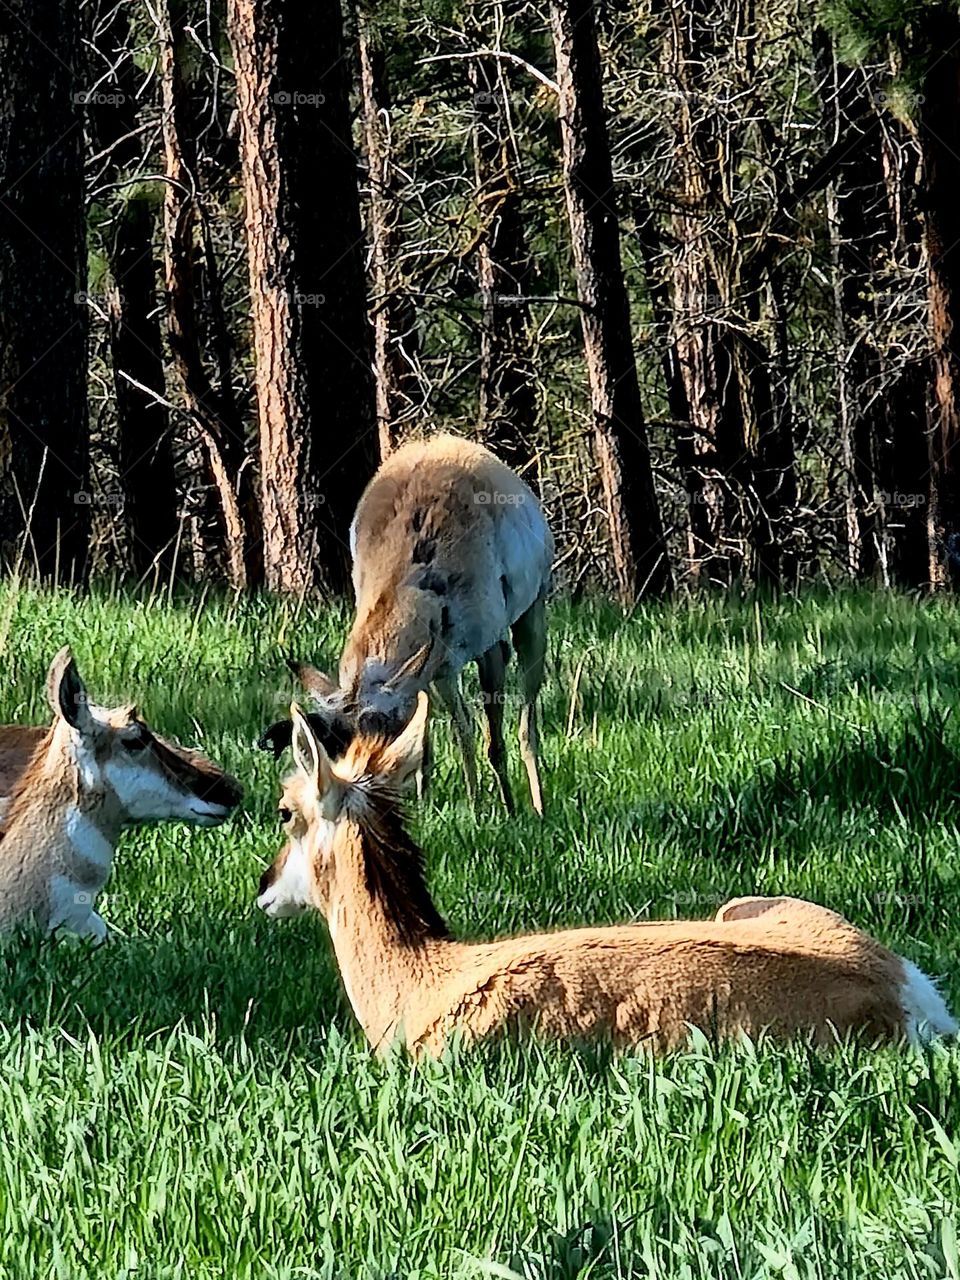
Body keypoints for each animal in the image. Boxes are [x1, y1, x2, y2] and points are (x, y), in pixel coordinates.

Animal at [259, 433, 554, 815]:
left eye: (381, 734)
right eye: (335, 744)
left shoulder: (475, 653)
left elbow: (482, 734)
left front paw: (496, 807)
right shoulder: (431, 668)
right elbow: (436, 733)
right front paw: (430, 800)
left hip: (531, 619)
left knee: (524, 722)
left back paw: (537, 805)